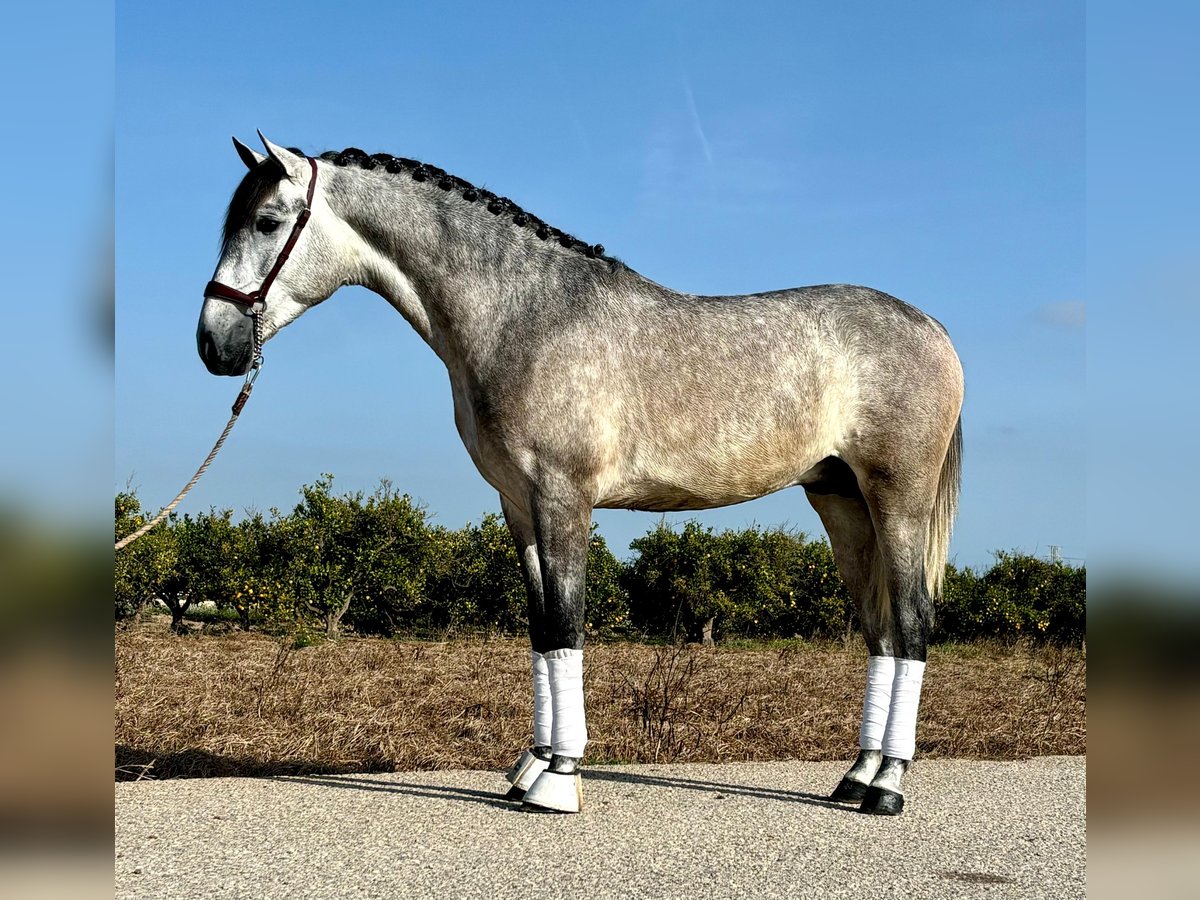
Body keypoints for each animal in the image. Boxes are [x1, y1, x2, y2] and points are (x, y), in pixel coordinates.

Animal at [196, 135, 964, 816]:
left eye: (268, 221)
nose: (213, 345)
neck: (525, 317)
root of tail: (933, 329)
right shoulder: (518, 505)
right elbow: (541, 631)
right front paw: (530, 767)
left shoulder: (563, 498)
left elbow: (567, 624)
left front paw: (559, 781)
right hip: (841, 502)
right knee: (881, 632)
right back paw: (856, 776)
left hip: (897, 500)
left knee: (913, 623)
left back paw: (888, 786)